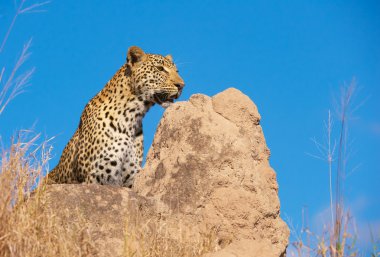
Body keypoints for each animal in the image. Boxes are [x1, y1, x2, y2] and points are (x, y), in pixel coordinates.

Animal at [45, 45, 185, 186]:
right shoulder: (95, 176)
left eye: (177, 71)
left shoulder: (131, 176)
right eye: (160, 69)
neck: (133, 115)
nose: (181, 85)